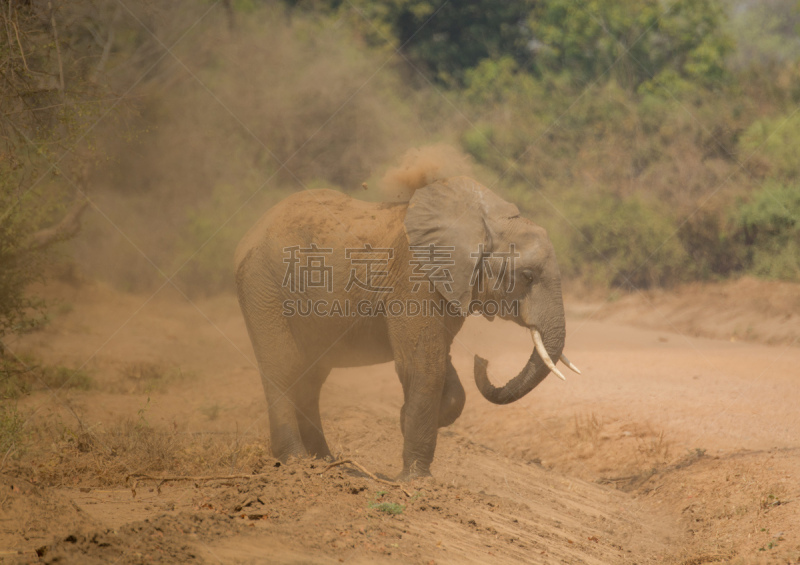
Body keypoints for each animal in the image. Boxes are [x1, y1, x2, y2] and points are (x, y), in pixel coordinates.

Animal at [234, 175, 580, 476]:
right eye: (528, 276)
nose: (482, 360)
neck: (484, 223)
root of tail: (252, 230)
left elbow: (444, 369)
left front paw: (405, 421)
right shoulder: (415, 278)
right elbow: (423, 366)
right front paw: (416, 479)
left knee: (311, 378)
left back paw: (325, 463)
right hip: (262, 285)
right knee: (284, 366)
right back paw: (294, 462)